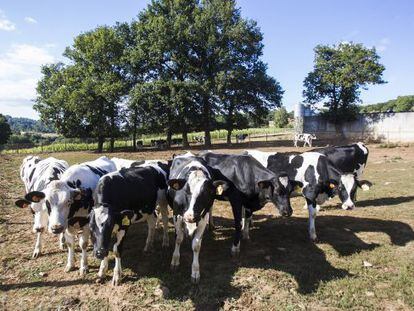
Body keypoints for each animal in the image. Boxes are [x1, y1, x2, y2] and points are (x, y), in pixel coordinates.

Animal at [167, 152, 228, 284]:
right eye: (186, 190)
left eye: (206, 193)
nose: (190, 216)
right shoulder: (177, 214)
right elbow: (178, 239)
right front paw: (175, 260)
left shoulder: (202, 218)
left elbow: (196, 245)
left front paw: (195, 272)